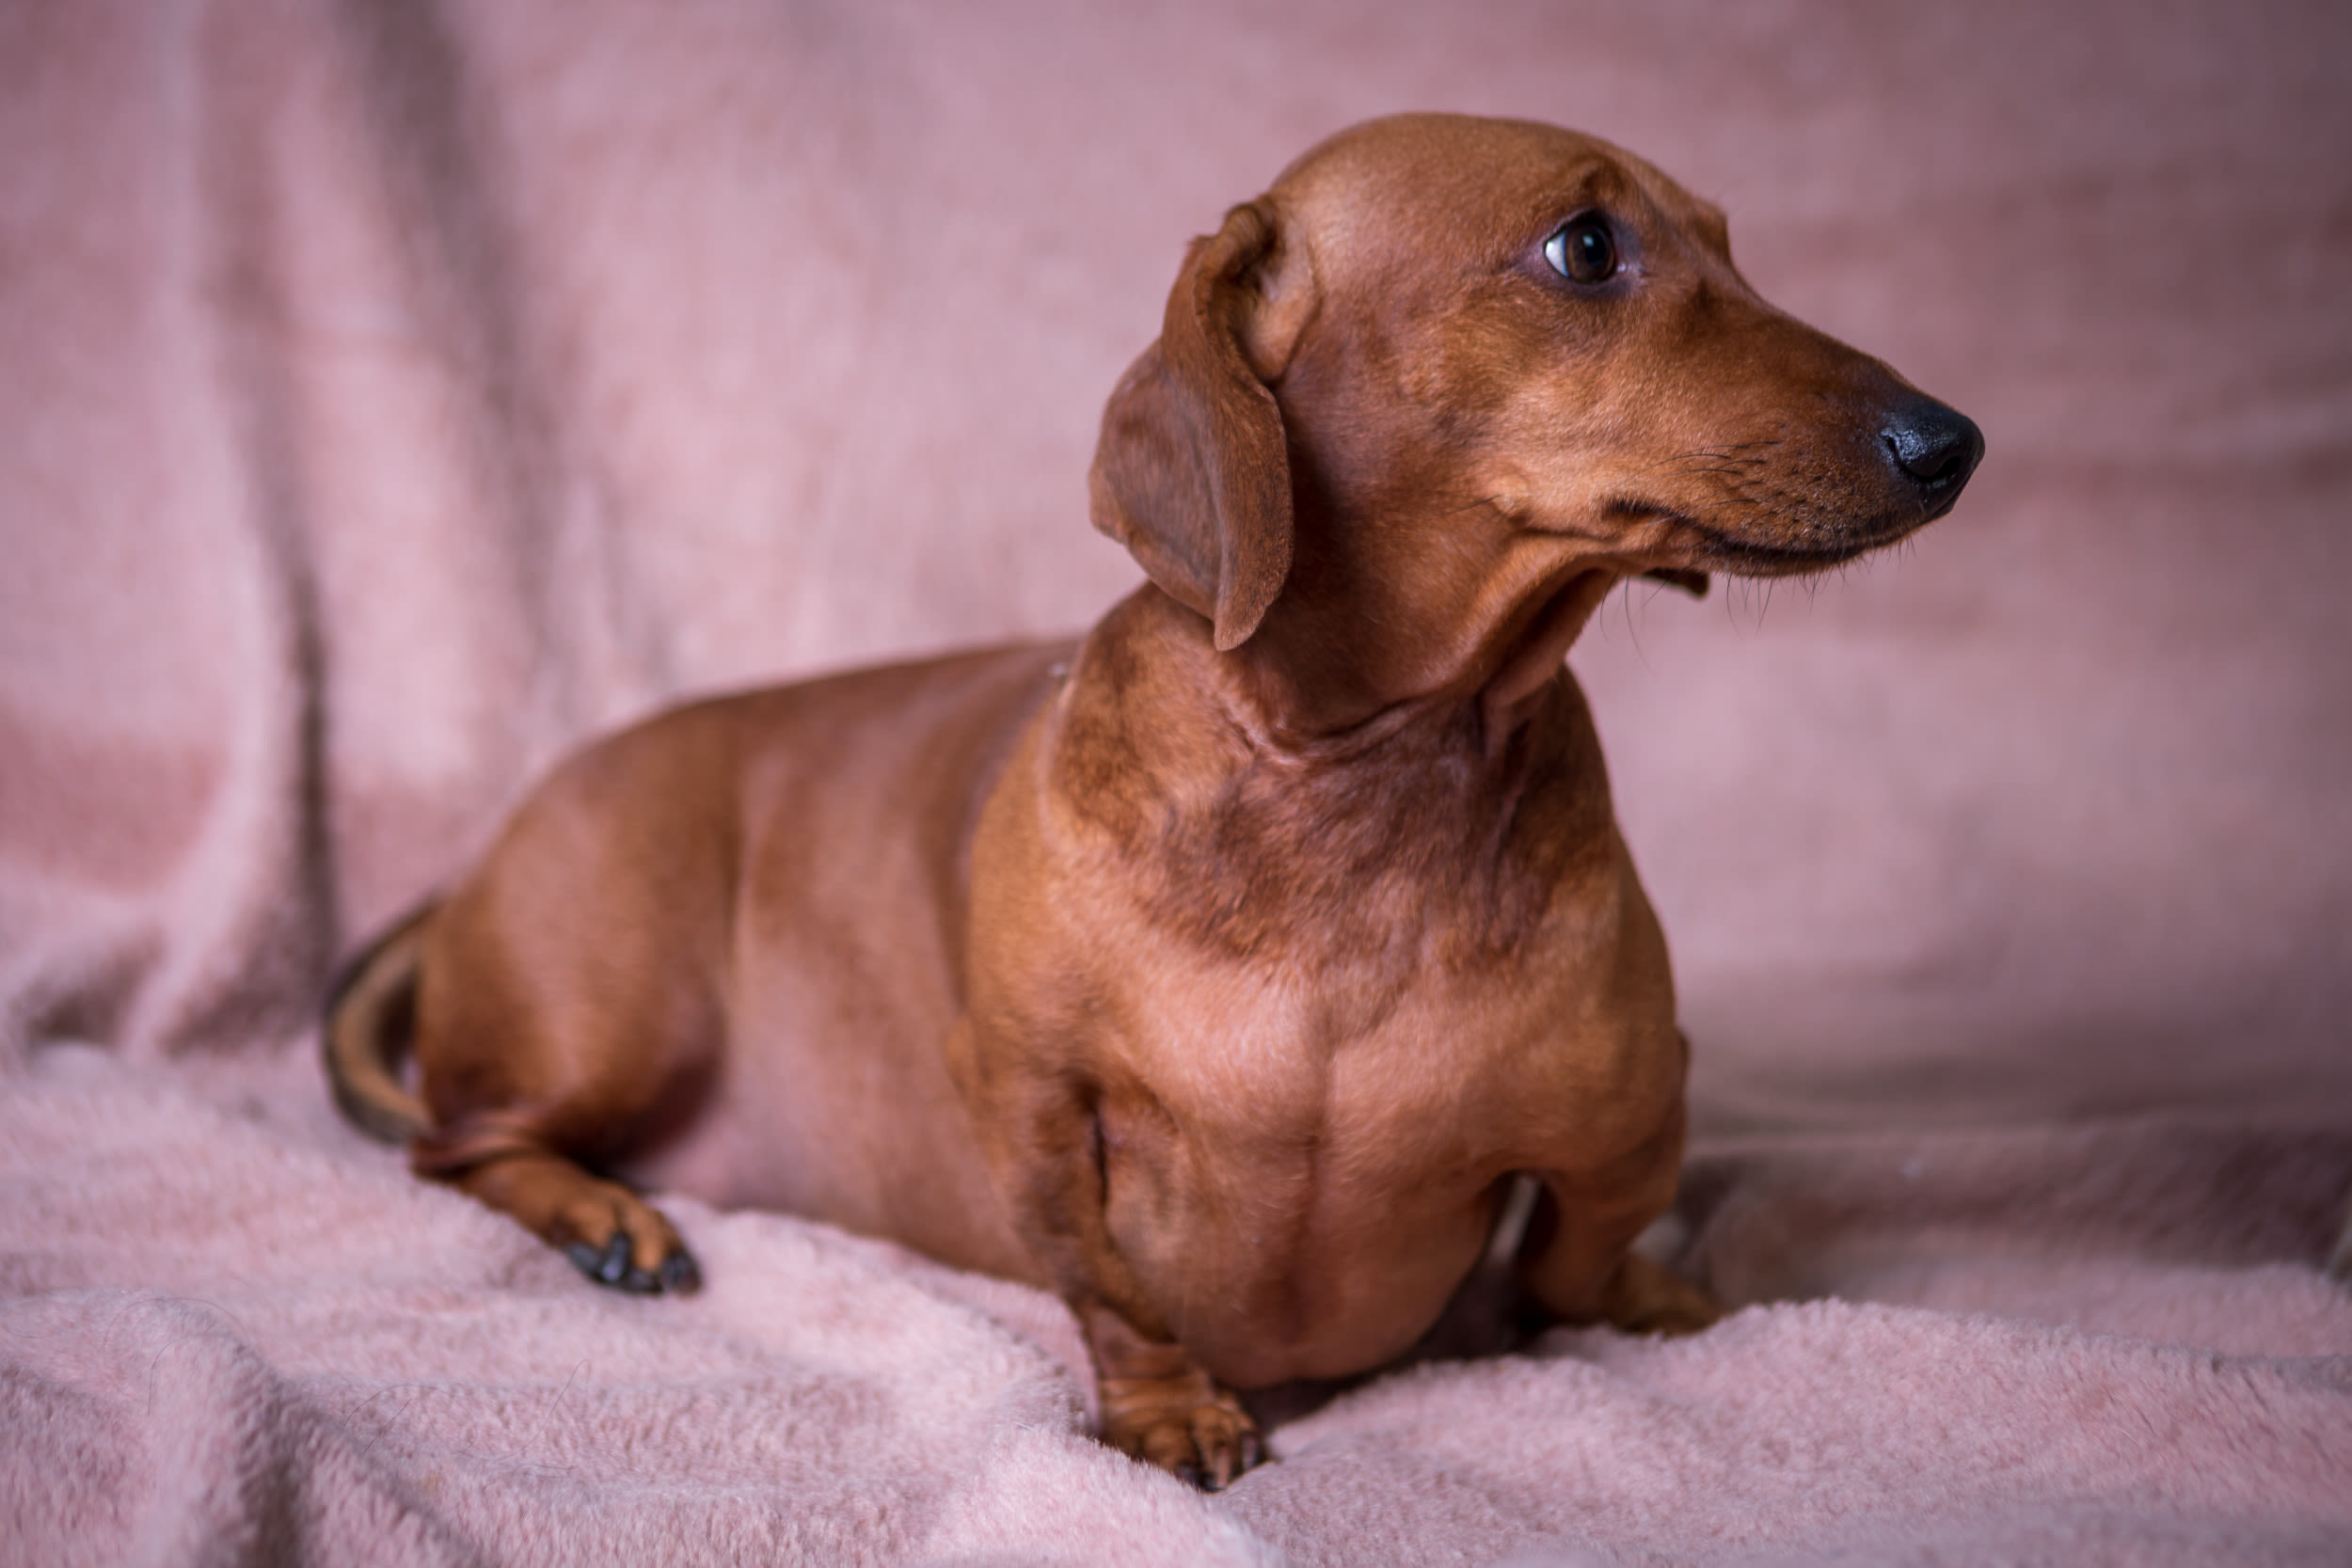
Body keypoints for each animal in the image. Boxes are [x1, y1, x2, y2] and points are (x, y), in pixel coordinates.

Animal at [326, 110, 1985, 1485]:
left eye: (1729, 240)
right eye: (1588, 246)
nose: (1952, 440)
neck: (1362, 778)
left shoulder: (1629, 1124)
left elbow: (1574, 1264)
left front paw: (1644, 1293)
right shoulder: (1035, 1105)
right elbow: (1112, 1288)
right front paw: (1170, 1407)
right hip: (608, 1018)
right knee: (454, 1148)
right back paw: (606, 1216)